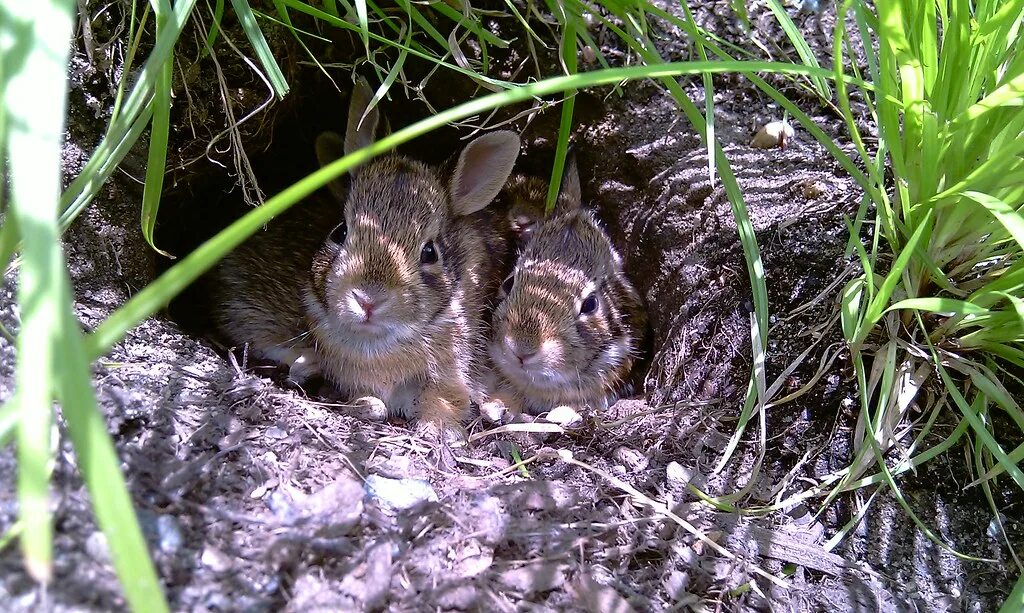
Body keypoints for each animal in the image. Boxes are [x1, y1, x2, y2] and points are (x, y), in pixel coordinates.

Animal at [214, 77, 520, 435]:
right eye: (340, 232)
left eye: (430, 252)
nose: (368, 299)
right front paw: (365, 402)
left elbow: (445, 399)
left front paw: (438, 427)